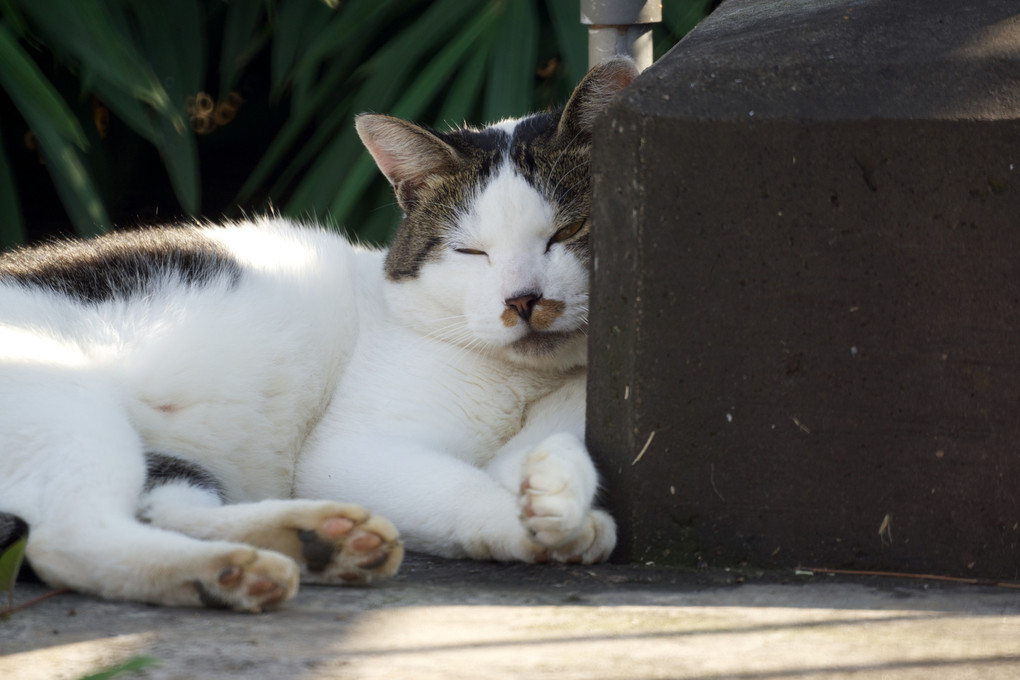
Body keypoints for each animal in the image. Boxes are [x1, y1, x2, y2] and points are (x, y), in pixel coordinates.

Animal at [0, 57, 636, 611]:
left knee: (160, 509)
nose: (523, 300)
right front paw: (527, 525)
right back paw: (231, 570)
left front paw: (560, 493)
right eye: (471, 252)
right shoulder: (350, 452)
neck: (524, 384)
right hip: (63, 401)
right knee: (69, 540)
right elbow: (460, 489)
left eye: (570, 230)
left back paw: (315, 539)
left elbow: (549, 452)